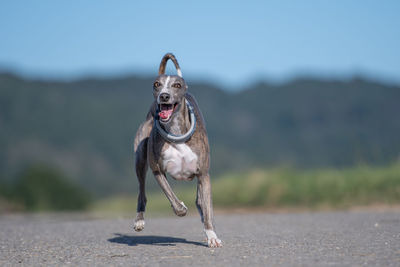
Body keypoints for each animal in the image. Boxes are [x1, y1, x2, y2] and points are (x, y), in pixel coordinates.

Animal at [134, 53, 222, 248]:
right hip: (140, 157)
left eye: (177, 85)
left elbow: (208, 208)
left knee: (201, 203)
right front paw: (181, 208)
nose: (164, 96)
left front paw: (212, 236)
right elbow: (172, 198)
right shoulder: (158, 170)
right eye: (156, 84)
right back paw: (139, 220)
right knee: (142, 192)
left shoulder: (203, 174)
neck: (175, 131)